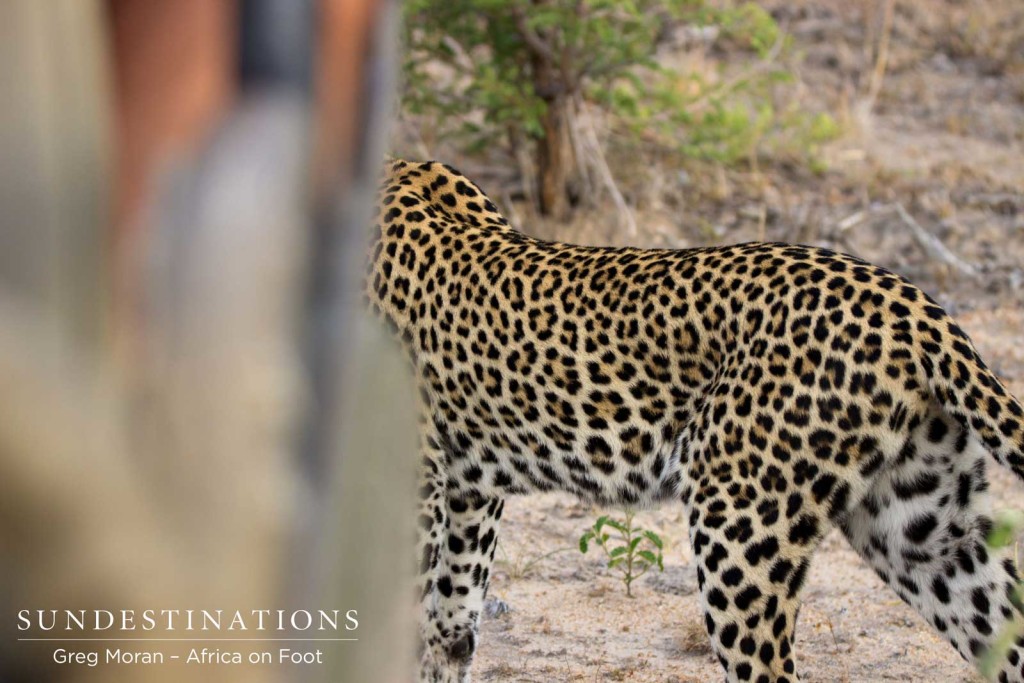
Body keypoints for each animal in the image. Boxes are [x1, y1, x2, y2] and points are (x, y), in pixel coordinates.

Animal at [368, 158, 1024, 683]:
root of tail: (915, 306)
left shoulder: (416, 482)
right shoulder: (467, 491)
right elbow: (450, 624)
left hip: (740, 526)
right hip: (923, 529)